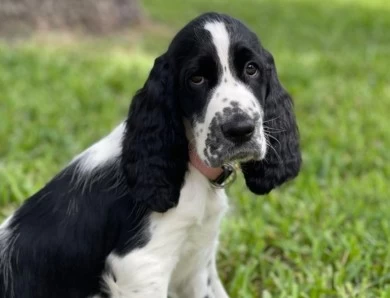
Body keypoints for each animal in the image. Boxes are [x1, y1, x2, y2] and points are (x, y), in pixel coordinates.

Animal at [0, 12, 302, 298]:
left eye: (252, 69)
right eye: (196, 79)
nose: (239, 129)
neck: (189, 164)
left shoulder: (197, 258)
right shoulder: (141, 266)